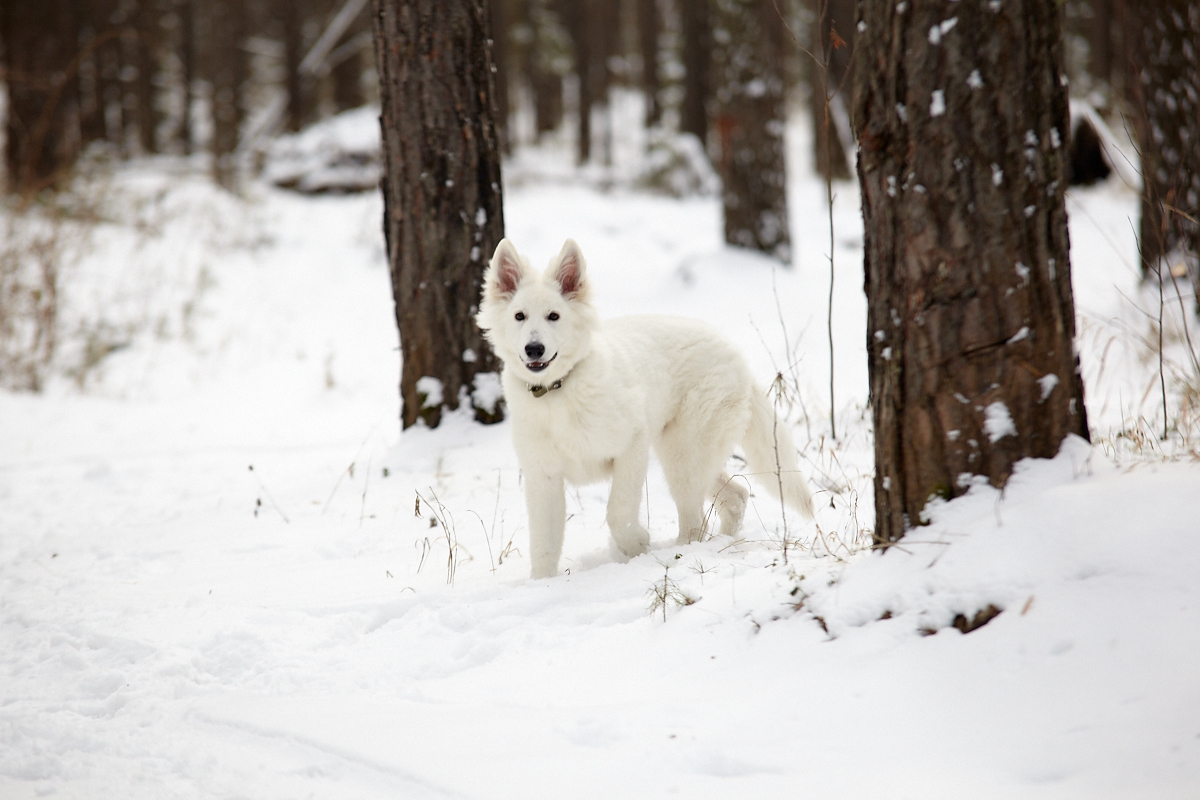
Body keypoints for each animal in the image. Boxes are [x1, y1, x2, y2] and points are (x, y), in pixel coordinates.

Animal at [477, 237, 816, 582]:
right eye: (519, 316)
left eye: (554, 316)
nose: (534, 349)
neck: (559, 389)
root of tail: (738, 359)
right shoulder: (543, 477)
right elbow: (544, 544)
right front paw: (543, 584)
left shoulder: (632, 446)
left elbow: (618, 512)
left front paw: (636, 544)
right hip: (689, 455)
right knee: (736, 496)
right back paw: (722, 543)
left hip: (683, 455)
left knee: (696, 519)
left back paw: (680, 553)